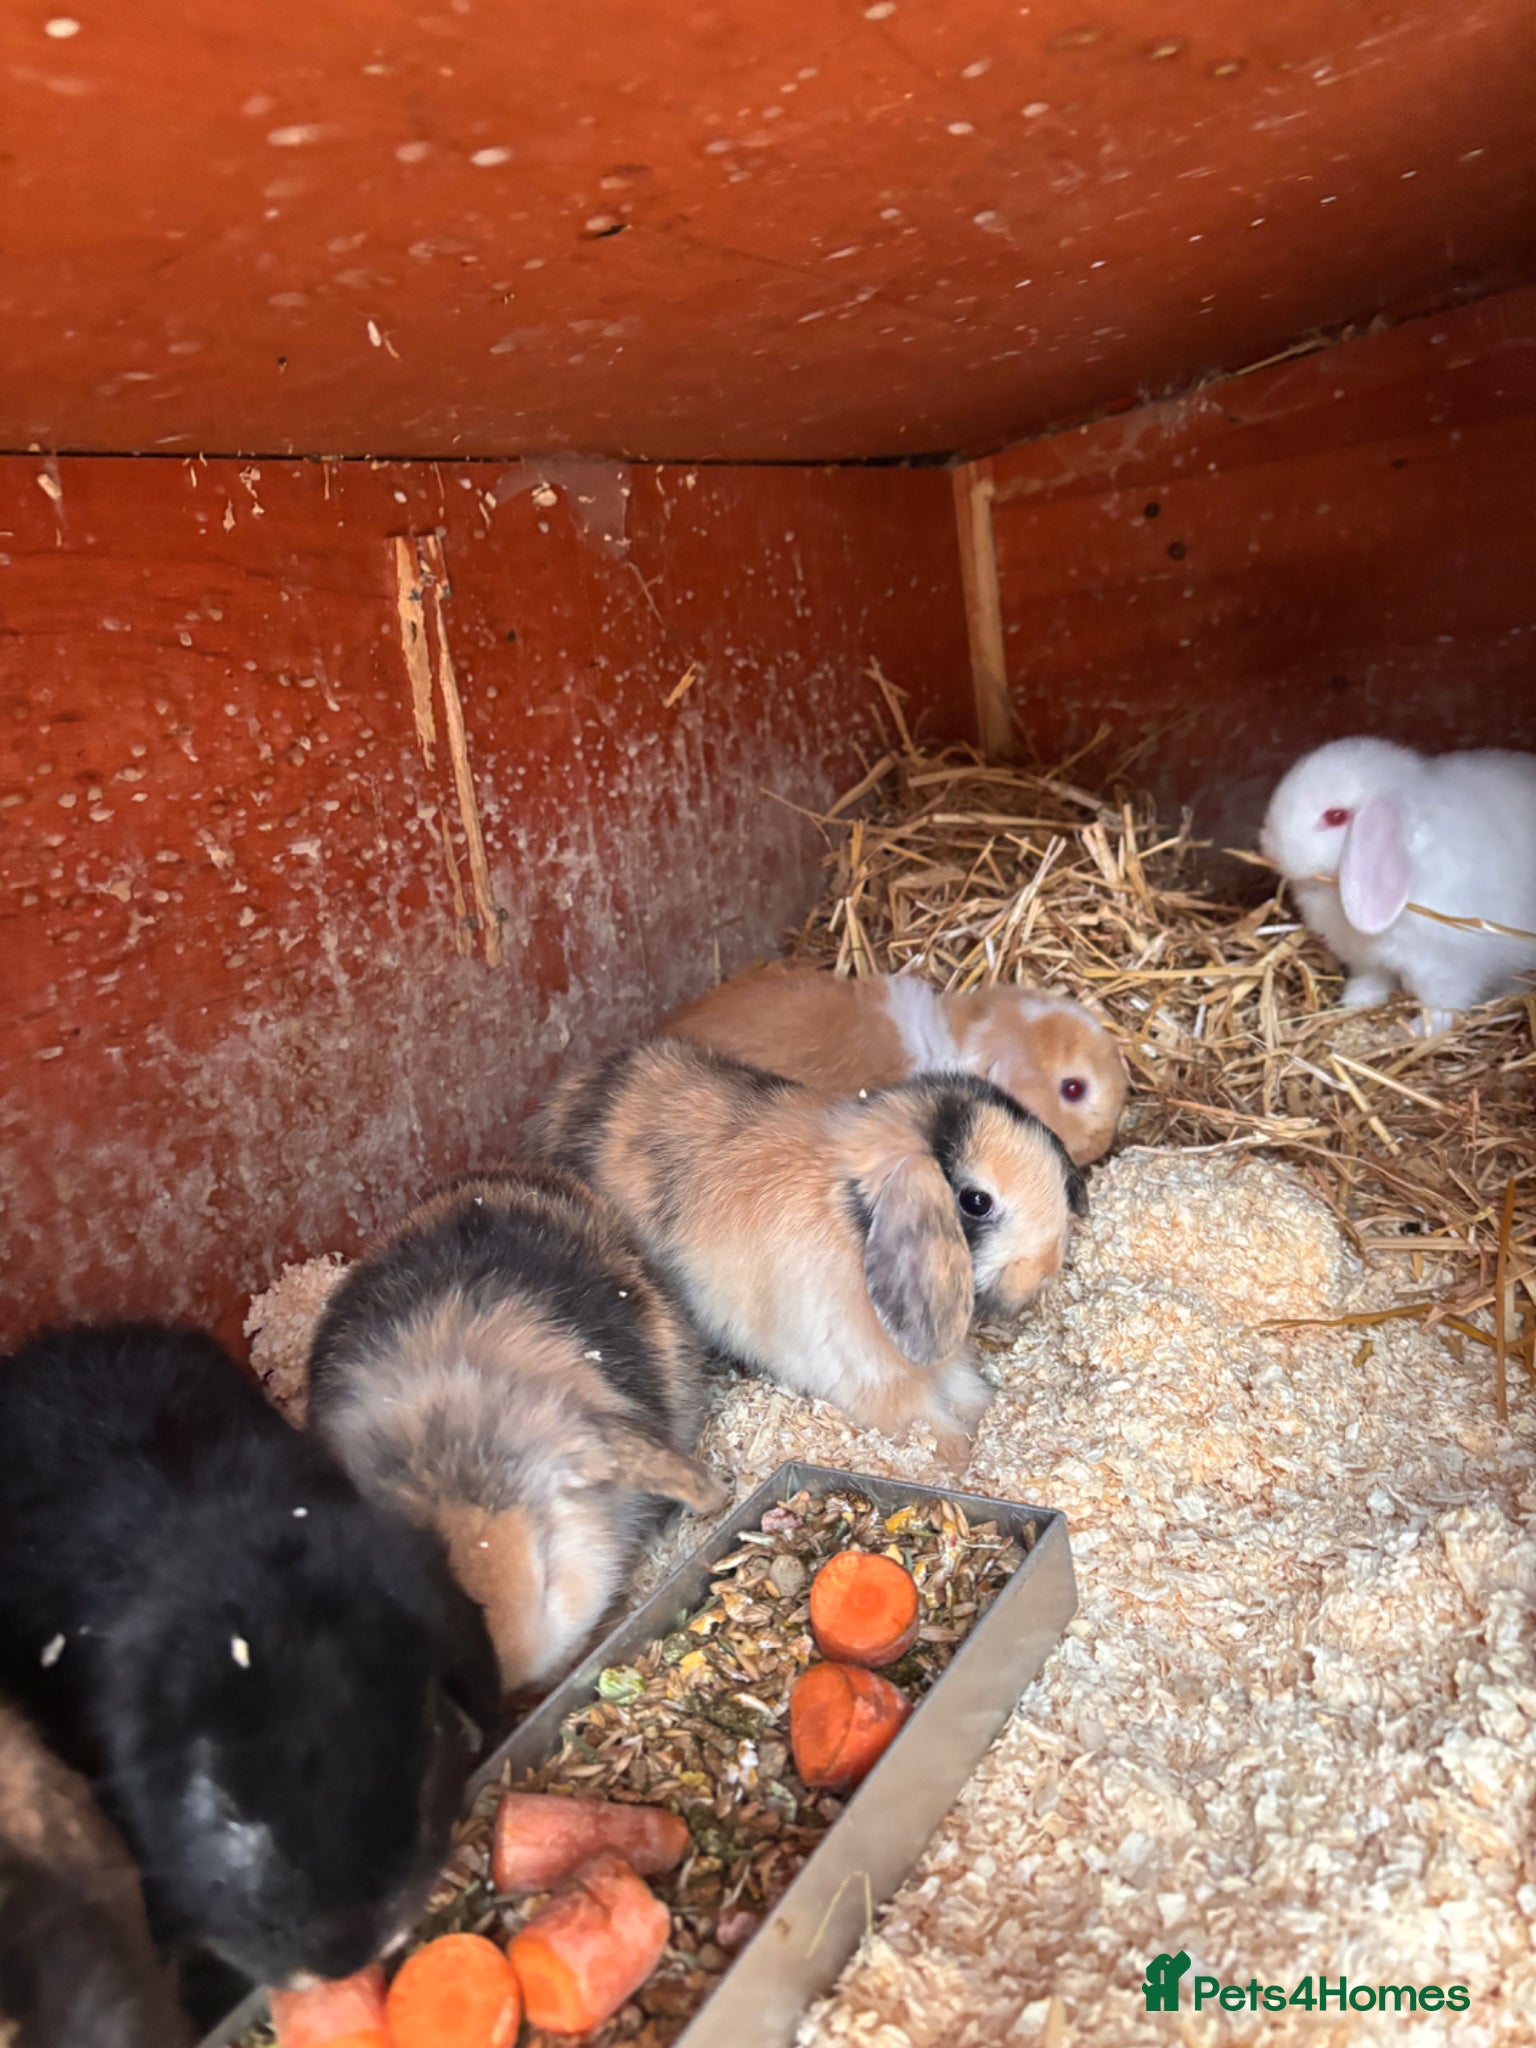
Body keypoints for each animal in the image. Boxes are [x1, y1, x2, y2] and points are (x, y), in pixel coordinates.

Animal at [531, 1040, 1087, 1471]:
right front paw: (959, 1455)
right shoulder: (875, 1379)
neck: (855, 1221)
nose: (1047, 1267)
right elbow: (927, 1424)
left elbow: (969, 1393)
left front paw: (988, 1413)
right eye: (976, 1201)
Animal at [1261, 737, 1536, 1031]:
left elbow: (1442, 1013)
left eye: (1336, 816)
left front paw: (1404, 1032)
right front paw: (1351, 1004)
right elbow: (1368, 984)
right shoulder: (1369, 964)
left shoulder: (1444, 972)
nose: (1269, 848)